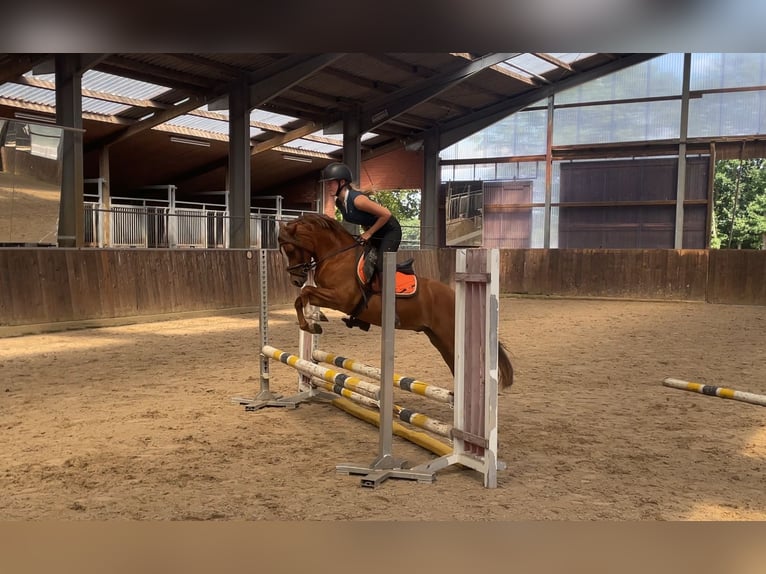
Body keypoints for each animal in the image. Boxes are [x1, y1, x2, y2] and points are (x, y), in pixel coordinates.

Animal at [277, 213, 514, 390]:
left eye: (289, 249)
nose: (295, 279)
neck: (337, 256)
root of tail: (453, 295)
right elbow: (304, 296)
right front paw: (315, 320)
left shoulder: (341, 298)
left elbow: (305, 294)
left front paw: (311, 324)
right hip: (437, 337)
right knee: (454, 364)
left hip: (448, 335)